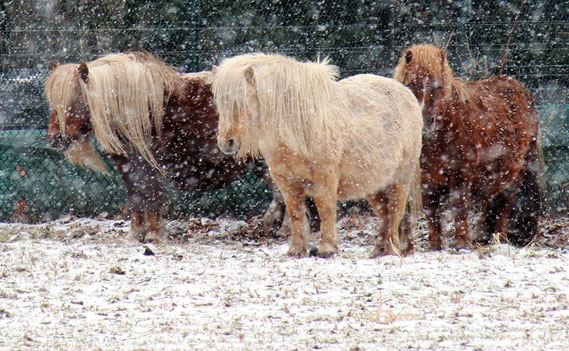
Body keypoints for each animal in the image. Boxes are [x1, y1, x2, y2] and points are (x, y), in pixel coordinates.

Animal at [45, 52, 292, 243]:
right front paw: (136, 234)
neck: (138, 112)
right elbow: (136, 197)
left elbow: (153, 196)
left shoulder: (151, 166)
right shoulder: (129, 167)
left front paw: (154, 234)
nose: (54, 139)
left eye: (75, 100)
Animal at [213, 53, 422, 258]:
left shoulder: (325, 177)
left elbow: (325, 210)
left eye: (240, 102)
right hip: (372, 183)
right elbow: (296, 214)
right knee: (384, 213)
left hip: (401, 178)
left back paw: (392, 249)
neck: (297, 125)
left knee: (395, 211)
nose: (226, 143)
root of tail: (407, 94)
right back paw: (378, 250)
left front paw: (327, 248)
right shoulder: (287, 183)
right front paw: (296, 250)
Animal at [392, 44, 544, 249]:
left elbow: (460, 208)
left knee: (504, 206)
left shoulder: (462, 175)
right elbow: (432, 213)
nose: (424, 121)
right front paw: (435, 245)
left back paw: (500, 240)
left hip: (517, 173)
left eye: (438, 86)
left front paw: (461, 243)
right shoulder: (428, 180)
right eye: (409, 84)